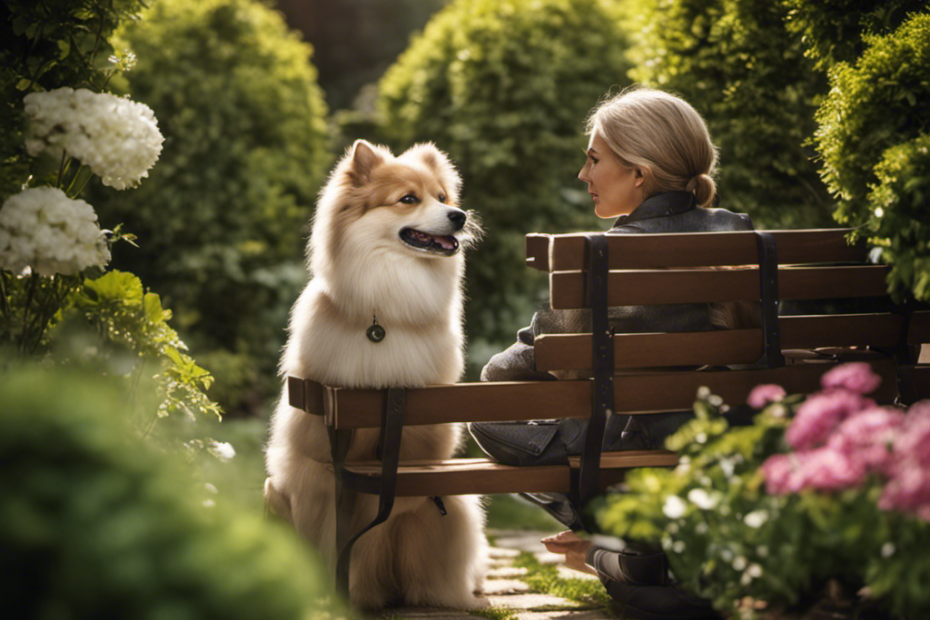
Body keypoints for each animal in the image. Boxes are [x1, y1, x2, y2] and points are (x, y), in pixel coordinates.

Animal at [262, 138, 486, 608]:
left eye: (443, 197)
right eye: (408, 199)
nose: (459, 215)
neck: (387, 309)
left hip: (449, 507)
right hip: (274, 493)